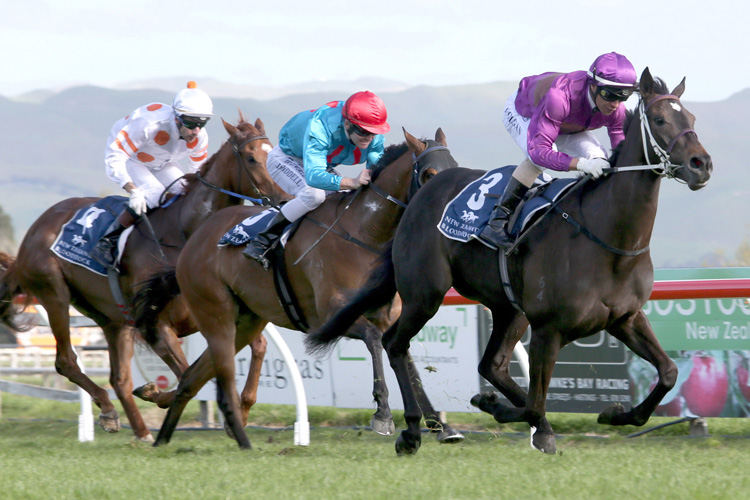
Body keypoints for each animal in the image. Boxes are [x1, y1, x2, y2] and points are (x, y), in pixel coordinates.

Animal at [0, 117, 286, 442]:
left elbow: (256, 347)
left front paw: (242, 410)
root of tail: (33, 232)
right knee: (66, 361)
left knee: (119, 378)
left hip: (113, 319)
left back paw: (136, 428)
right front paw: (159, 394)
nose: (284, 199)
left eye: (273, 151)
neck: (183, 233)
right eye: (251, 158)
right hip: (54, 294)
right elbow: (189, 374)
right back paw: (110, 410)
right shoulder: (157, 325)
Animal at [132, 129, 468, 450]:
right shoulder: (330, 317)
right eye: (429, 174)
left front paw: (441, 425)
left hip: (246, 321)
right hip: (216, 314)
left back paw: (162, 429)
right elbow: (375, 341)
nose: (447, 212)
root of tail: (193, 241)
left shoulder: (388, 317)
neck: (364, 234)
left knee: (193, 376)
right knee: (214, 377)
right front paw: (383, 414)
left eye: (454, 168)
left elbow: (406, 360)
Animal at [306, 68, 716, 456]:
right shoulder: (548, 329)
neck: (609, 240)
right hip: (426, 294)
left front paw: (616, 413)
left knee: (491, 365)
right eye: (660, 119)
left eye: (692, 117)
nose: (702, 164)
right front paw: (515, 416)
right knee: (395, 343)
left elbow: (668, 372)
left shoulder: (625, 318)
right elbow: (536, 401)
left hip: (508, 308)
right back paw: (411, 431)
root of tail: (421, 194)